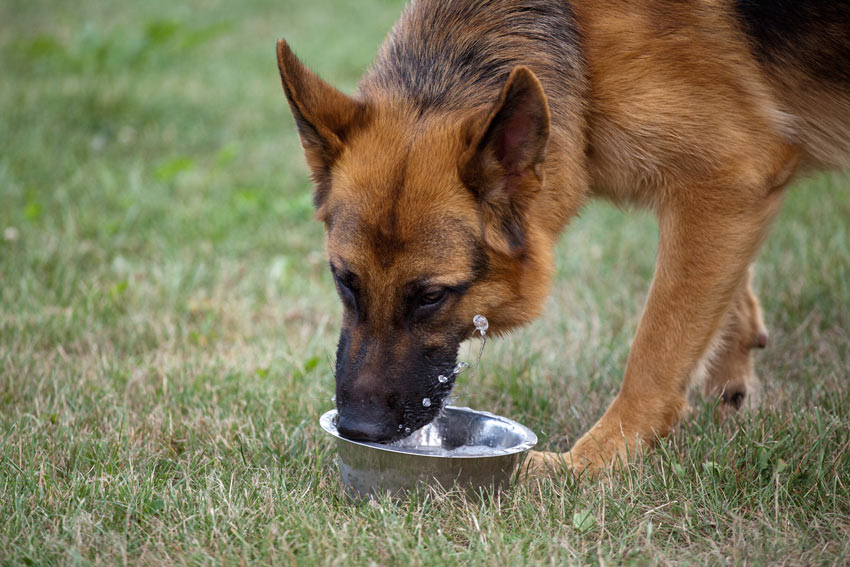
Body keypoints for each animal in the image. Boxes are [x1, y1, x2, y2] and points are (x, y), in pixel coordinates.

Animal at [274, 1, 844, 474]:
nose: (357, 430)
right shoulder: (729, 201)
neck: (583, 45)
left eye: (432, 296)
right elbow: (715, 297)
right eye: (344, 281)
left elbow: (657, 348)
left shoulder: (726, 179)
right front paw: (732, 357)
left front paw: (593, 464)